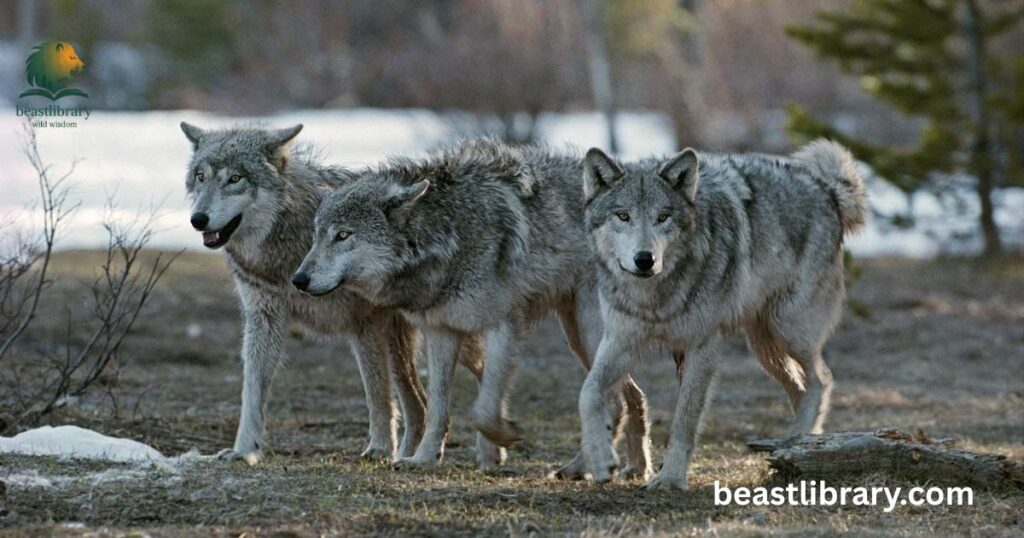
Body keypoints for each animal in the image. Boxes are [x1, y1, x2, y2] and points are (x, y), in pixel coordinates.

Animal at [180, 122, 474, 463]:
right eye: (201, 176)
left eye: (235, 178)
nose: (197, 219)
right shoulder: (263, 317)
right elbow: (251, 390)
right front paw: (244, 450)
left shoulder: (367, 323)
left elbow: (377, 394)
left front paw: (378, 448)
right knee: (420, 405)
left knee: (423, 402)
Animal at [293, 139, 652, 476]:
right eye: (316, 235)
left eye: (343, 235)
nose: (298, 279)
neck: (447, 235)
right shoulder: (442, 331)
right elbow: (438, 407)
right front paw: (424, 459)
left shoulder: (505, 327)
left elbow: (483, 408)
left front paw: (504, 434)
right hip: (577, 336)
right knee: (630, 397)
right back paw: (625, 467)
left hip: (589, 330)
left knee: (615, 401)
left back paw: (590, 467)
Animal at [578, 139, 867, 490]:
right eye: (623, 215)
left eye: (663, 217)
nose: (645, 259)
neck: (655, 297)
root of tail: (828, 190)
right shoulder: (620, 341)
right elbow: (588, 392)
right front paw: (599, 457)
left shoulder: (703, 346)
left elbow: (685, 418)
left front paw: (670, 478)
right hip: (765, 347)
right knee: (800, 389)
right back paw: (796, 446)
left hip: (788, 331)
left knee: (821, 379)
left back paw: (800, 443)